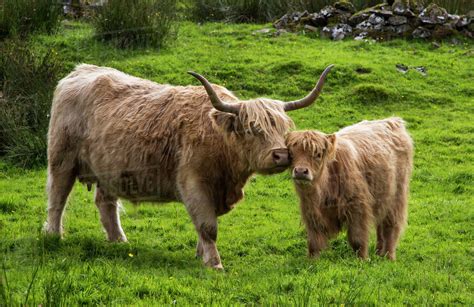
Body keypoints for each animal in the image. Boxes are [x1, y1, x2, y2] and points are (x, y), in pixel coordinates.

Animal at [286, 118, 412, 260]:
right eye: (291, 154)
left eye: (318, 154)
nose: (301, 171)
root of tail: (392, 120)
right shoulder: (311, 212)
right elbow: (314, 241)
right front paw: (312, 260)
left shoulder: (357, 207)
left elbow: (357, 238)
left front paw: (363, 259)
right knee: (381, 227)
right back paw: (379, 253)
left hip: (396, 196)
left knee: (390, 227)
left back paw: (388, 256)